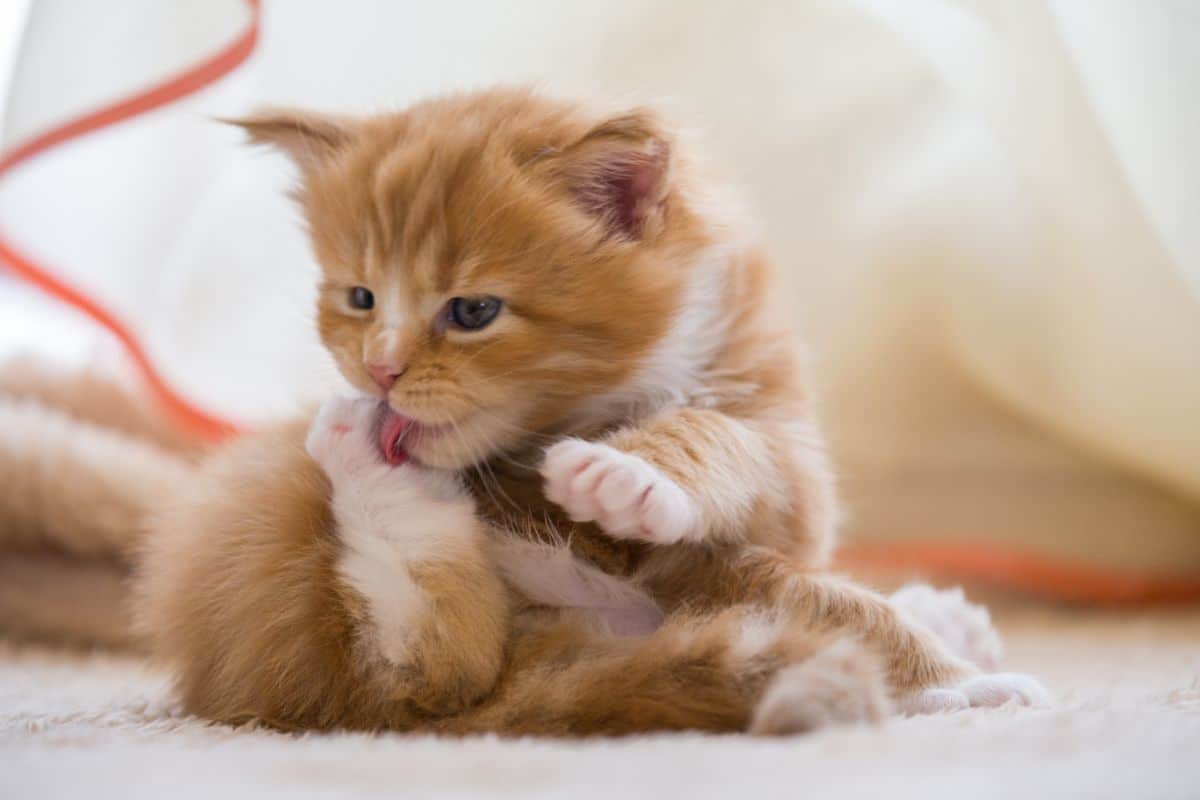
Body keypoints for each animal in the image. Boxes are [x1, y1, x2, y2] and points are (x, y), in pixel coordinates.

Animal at [133, 86, 1051, 734]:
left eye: (472, 311)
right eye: (360, 298)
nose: (380, 370)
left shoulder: (786, 471)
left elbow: (733, 447)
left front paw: (627, 471)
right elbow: (834, 596)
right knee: (425, 657)